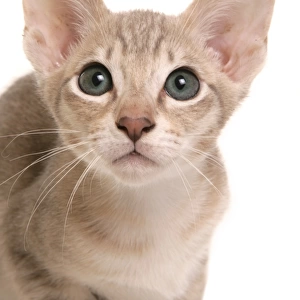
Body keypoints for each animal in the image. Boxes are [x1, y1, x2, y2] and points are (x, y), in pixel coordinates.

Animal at [0, 0, 274, 300]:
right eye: (94, 80)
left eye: (182, 83)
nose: (134, 122)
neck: (146, 220)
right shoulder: (27, 257)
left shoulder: (193, 275)